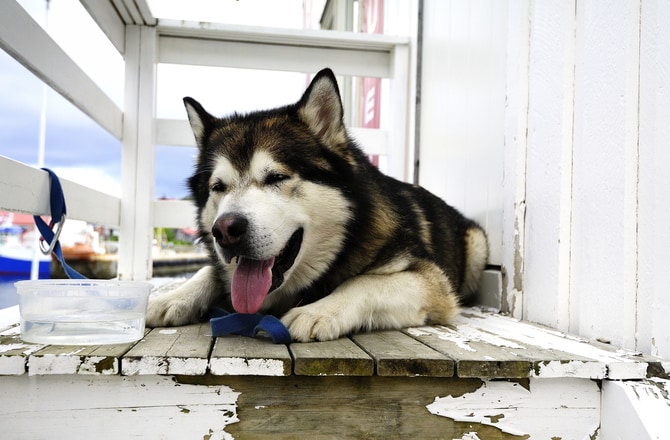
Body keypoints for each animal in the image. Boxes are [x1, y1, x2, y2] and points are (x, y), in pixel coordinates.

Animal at [146, 68, 488, 342]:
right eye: (218, 187)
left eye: (276, 177)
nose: (226, 230)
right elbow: (209, 270)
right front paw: (172, 297)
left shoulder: (431, 281)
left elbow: (364, 282)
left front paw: (319, 311)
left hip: (477, 244)